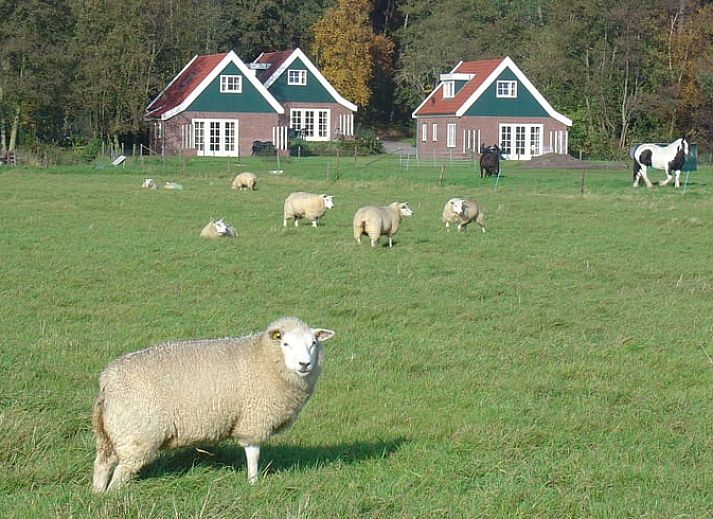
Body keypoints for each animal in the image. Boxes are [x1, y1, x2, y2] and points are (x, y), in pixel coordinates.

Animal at [91, 314, 334, 494]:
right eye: (285, 343)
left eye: (313, 343)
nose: (304, 364)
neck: (265, 358)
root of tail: (107, 381)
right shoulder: (254, 419)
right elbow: (253, 454)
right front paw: (253, 483)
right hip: (137, 434)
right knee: (122, 472)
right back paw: (115, 496)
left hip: (109, 434)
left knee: (102, 464)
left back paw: (98, 495)